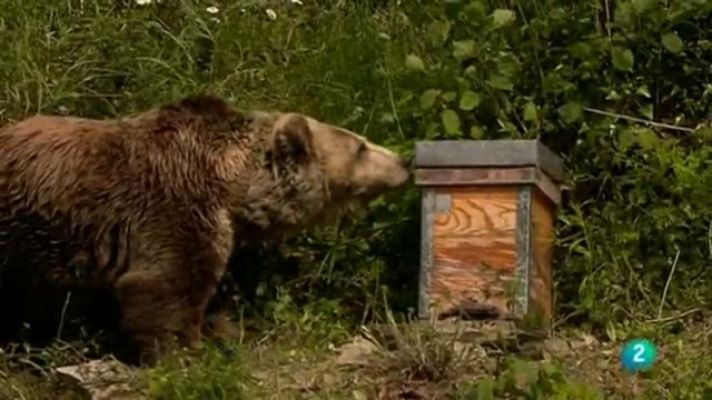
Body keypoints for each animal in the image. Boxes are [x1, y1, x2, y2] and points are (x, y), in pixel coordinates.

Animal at [0, 94, 410, 364]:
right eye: (360, 147)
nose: (403, 161)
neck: (232, 185)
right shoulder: (172, 204)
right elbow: (167, 285)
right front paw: (184, 351)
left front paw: (218, 331)